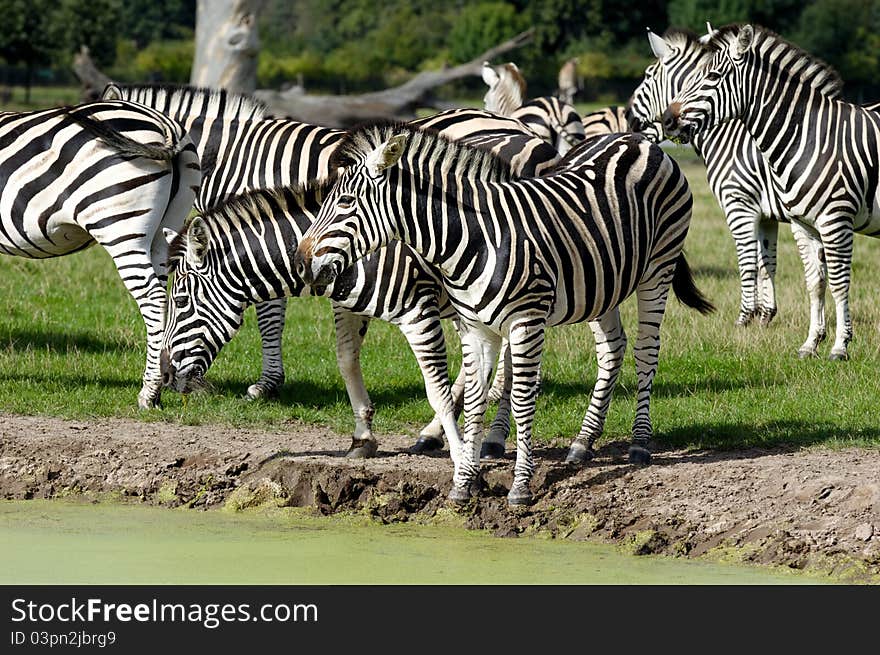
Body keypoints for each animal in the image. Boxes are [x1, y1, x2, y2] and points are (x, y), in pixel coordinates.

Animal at [157, 109, 556, 456]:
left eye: (180, 301)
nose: (165, 376)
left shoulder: (418, 311)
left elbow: (436, 386)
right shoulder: (349, 304)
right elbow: (346, 360)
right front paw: (363, 437)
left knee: (506, 370)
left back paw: (488, 439)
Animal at [296, 123, 716, 504]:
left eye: (346, 202)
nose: (301, 262)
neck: (474, 238)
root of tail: (638, 139)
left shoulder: (526, 322)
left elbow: (522, 399)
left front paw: (520, 486)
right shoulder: (475, 327)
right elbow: (474, 398)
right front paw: (464, 482)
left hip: (658, 266)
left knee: (646, 350)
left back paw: (640, 442)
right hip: (602, 283)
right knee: (613, 349)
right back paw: (583, 442)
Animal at [664, 25, 880, 362]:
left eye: (712, 76)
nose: (667, 119)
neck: (806, 136)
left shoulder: (834, 220)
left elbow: (838, 283)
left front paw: (840, 346)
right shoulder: (803, 224)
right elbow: (814, 282)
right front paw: (811, 343)